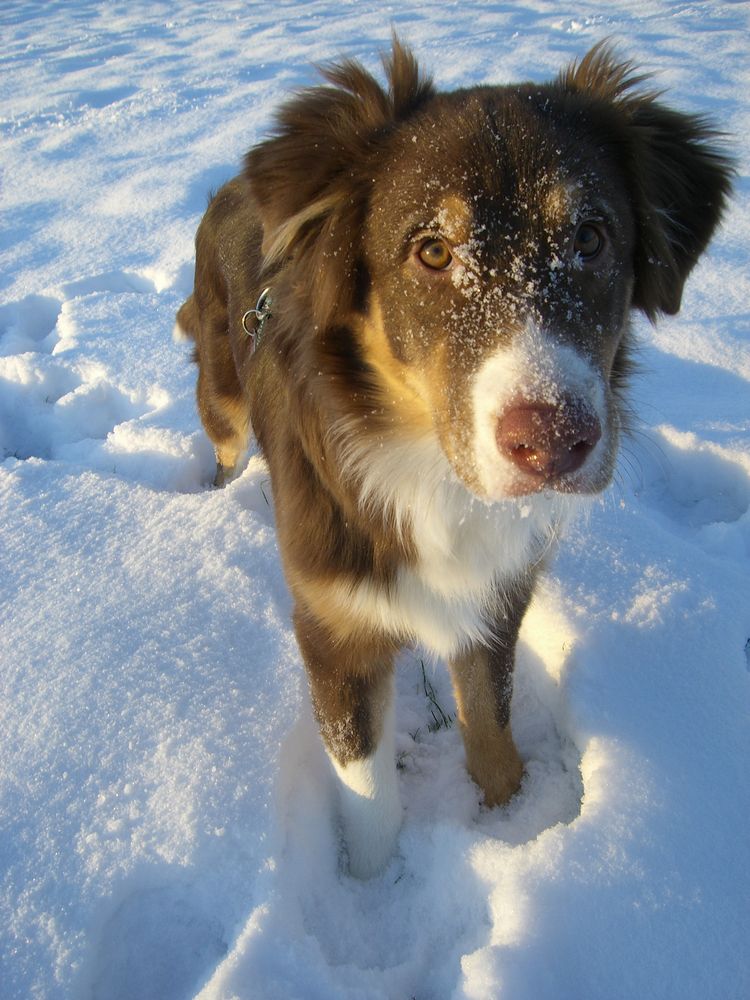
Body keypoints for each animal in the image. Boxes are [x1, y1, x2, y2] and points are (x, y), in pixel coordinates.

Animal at [175, 37, 728, 876]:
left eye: (591, 238)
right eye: (432, 251)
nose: (554, 442)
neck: (427, 471)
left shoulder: (499, 593)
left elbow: (490, 723)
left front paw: (511, 822)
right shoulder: (334, 629)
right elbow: (368, 797)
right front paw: (376, 896)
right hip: (224, 394)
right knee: (224, 448)